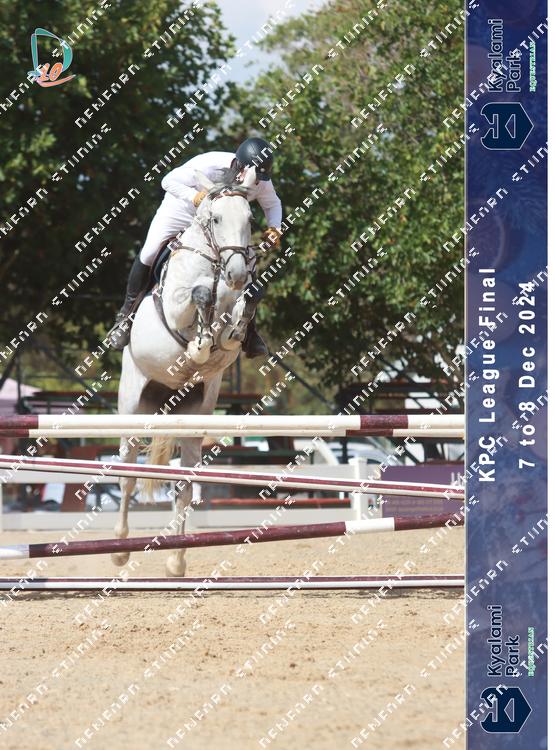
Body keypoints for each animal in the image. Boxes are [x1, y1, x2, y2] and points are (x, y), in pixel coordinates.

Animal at [112, 166, 261, 576]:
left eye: (250, 220)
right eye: (216, 219)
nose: (237, 273)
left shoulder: (232, 321)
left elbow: (234, 323)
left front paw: (224, 332)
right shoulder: (179, 308)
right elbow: (198, 298)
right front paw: (199, 341)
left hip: (194, 418)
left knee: (184, 484)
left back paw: (176, 560)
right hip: (133, 410)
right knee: (128, 475)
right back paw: (119, 550)